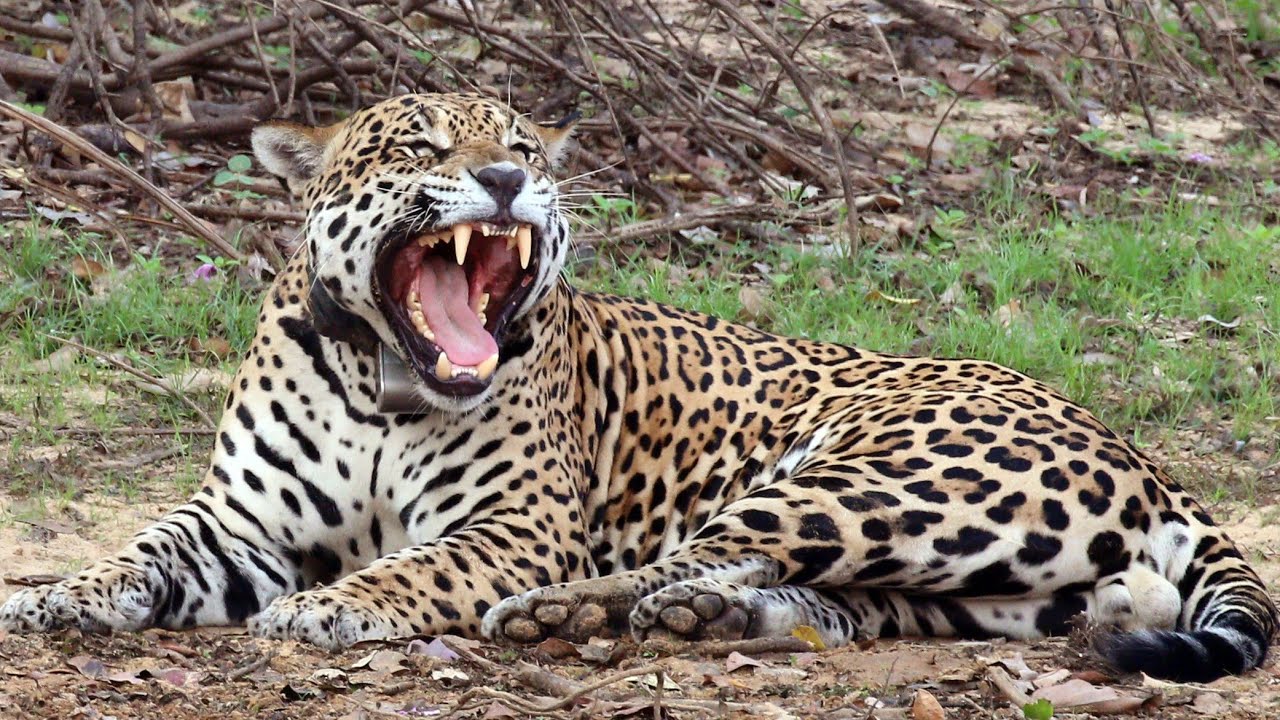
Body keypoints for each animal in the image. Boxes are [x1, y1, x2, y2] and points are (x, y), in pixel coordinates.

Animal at [2, 93, 1274, 683]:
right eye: (417, 147)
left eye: (521, 145)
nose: (505, 177)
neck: (379, 381)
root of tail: (1134, 448)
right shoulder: (240, 523)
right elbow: (143, 549)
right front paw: (53, 595)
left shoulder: (515, 528)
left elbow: (420, 566)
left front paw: (333, 606)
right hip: (985, 586)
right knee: (827, 602)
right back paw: (708, 621)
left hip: (873, 478)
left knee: (693, 555)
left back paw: (569, 616)